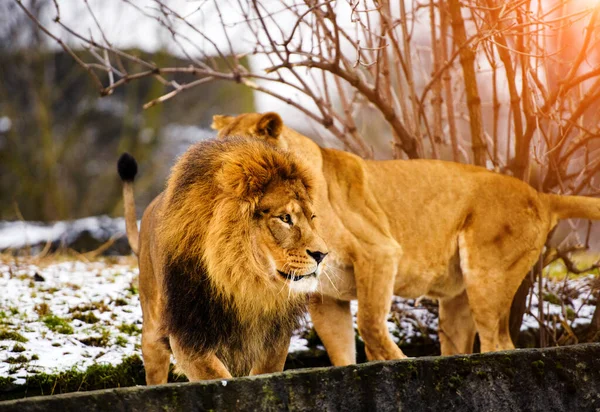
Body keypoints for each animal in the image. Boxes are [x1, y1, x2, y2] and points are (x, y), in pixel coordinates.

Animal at [117, 138, 328, 384]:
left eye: (312, 217)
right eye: (285, 218)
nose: (322, 255)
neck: (247, 281)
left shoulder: (274, 338)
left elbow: (264, 372)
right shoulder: (186, 334)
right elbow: (218, 377)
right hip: (152, 330)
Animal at [212, 112, 600, 364]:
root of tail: (540, 195)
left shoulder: (381, 252)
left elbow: (370, 325)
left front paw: (396, 361)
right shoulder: (325, 297)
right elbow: (342, 353)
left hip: (487, 279)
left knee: (499, 341)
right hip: (457, 302)